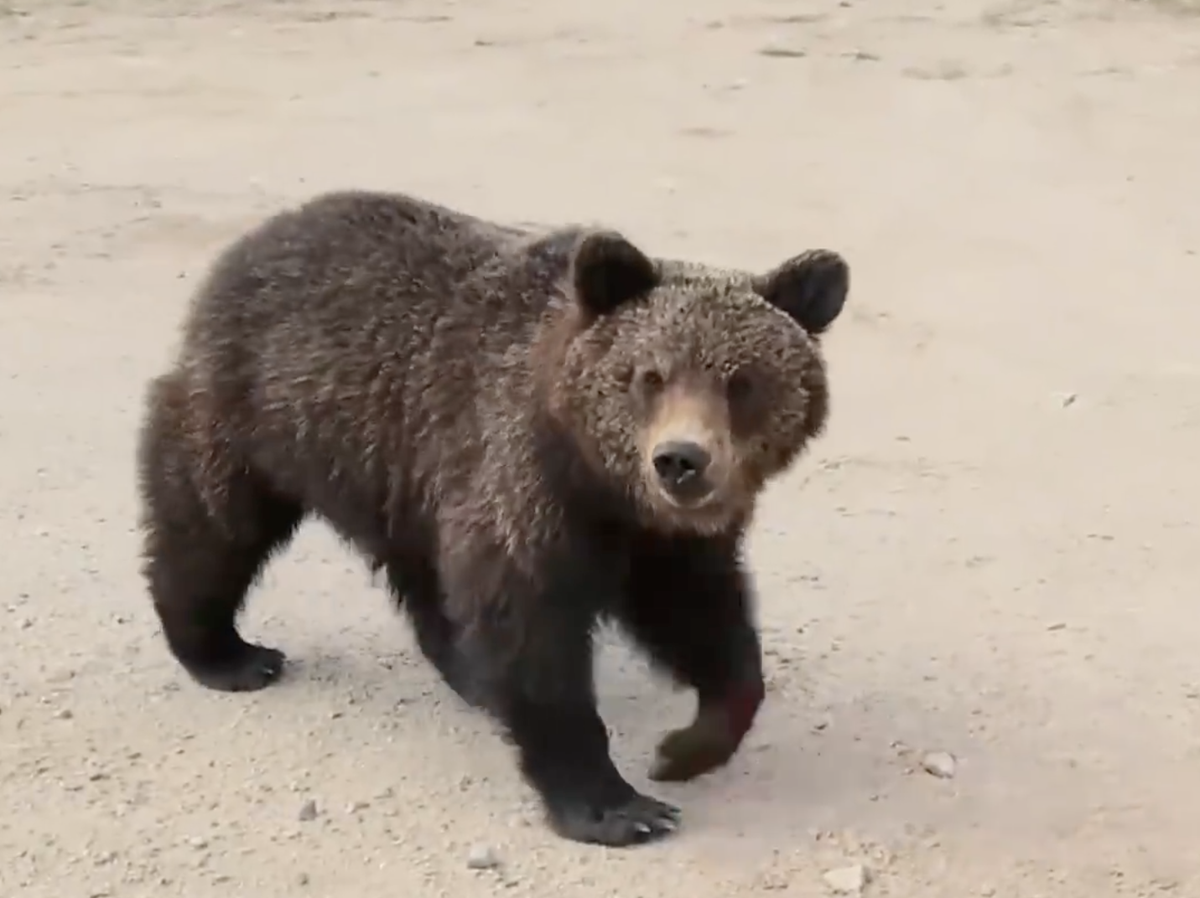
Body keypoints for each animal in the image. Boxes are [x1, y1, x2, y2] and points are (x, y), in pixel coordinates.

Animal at [135, 188, 849, 847]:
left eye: (742, 381)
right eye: (648, 375)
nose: (680, 460)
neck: (604, 487)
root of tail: (252, 242)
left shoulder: (661, 540)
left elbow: (704, 619)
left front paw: (685, 748)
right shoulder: (523, 484)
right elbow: (532, 637)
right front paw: (615, 806)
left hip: (399, 474)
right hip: (263, 410)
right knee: (212, 521)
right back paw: (226, 651)